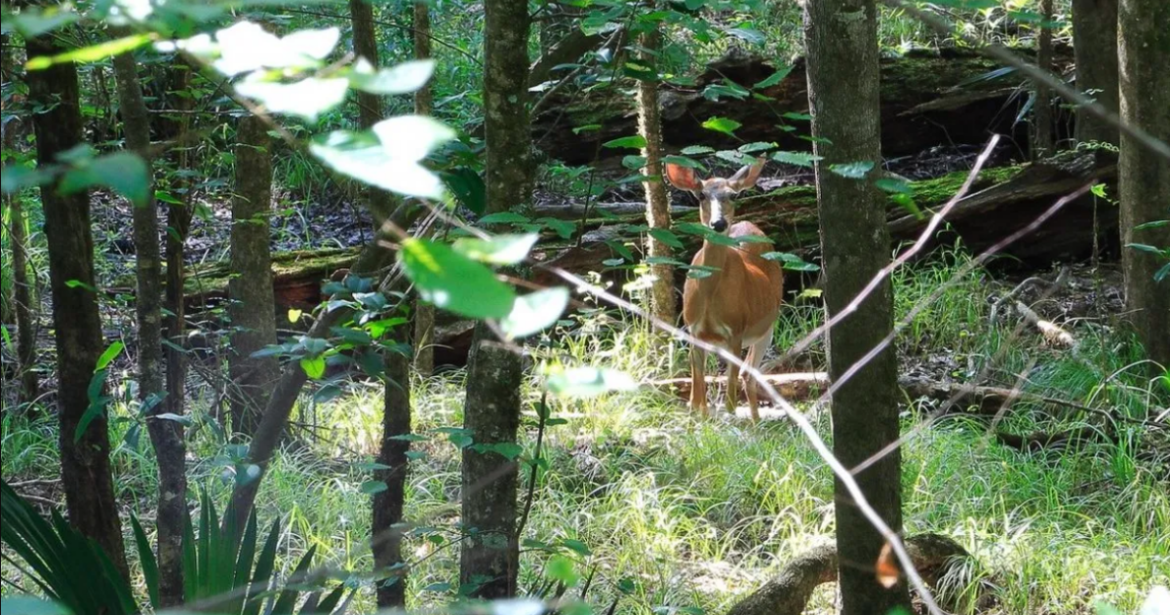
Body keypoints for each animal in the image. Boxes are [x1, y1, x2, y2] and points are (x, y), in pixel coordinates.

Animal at [665, 160, 783, 421]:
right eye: (701, 195)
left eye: (733, 195)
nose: (718, 223)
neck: (709, 297)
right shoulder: (693, 330)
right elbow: (696, 399)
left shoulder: (736, 331)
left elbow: (729, 397)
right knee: (745, 375)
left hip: (766, 329)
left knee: (748, 375)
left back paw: (756, 421)